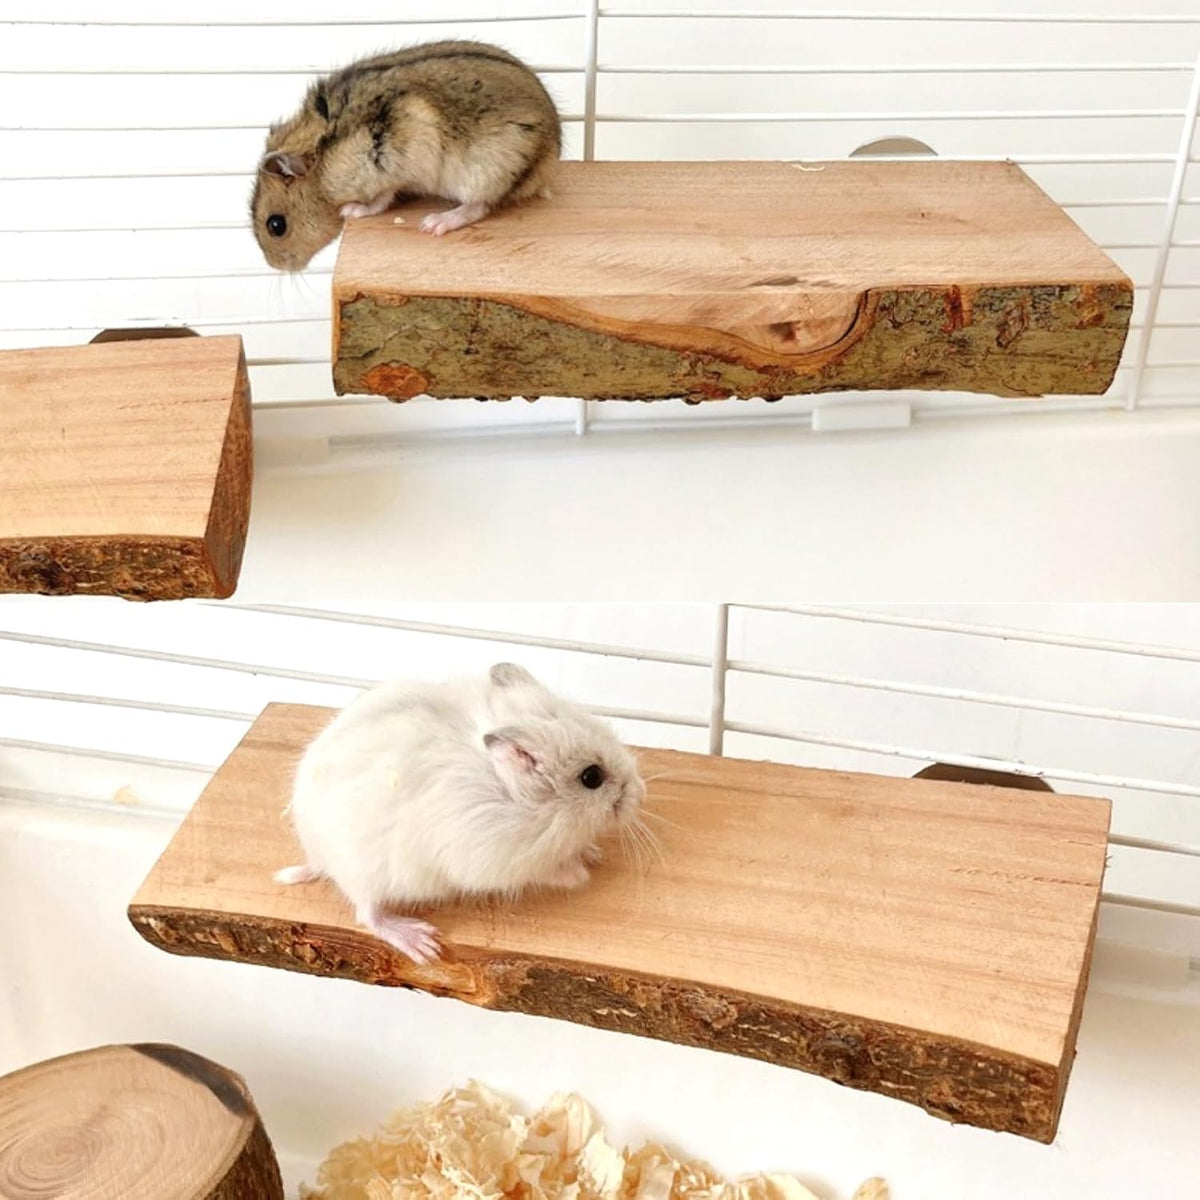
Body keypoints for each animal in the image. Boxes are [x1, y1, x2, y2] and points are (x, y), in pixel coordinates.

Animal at [250, 40, 562, 270]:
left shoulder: (390, 169)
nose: (276, 266)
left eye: (276, 225)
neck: (322, 158)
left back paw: (433, 223)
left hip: (487, 171)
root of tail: (550, 158)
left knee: (479, 206)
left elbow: (380, 200)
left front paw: (350, 210)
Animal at [274, 663, 646, 964]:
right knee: (368, 915)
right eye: (591, 777)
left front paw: (593, 854)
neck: (520, 802)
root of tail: (316, 858)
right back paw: (423, 944)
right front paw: (580, 876)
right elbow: (550, 871)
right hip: (365, 873)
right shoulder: (496, 861)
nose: (641, 793)